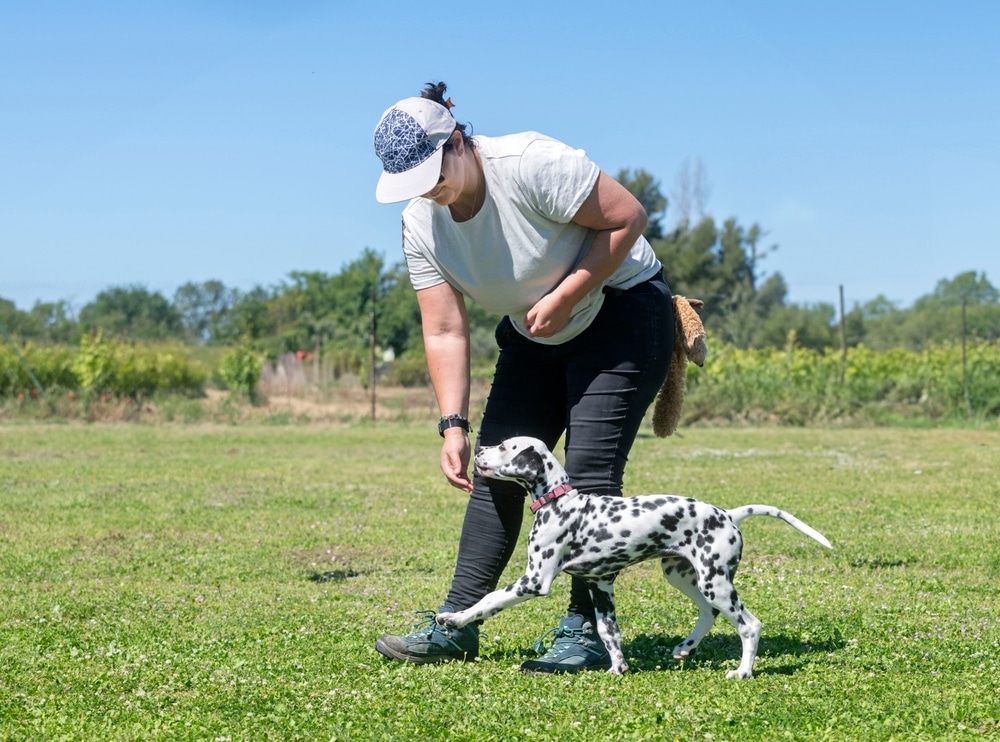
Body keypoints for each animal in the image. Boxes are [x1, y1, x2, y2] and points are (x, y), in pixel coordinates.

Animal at [434, 436, 832, 680]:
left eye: (504, 446)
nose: (478, 449)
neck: (559, 502)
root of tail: (728, 514)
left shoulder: (534, 580)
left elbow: (488, 600)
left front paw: (455, 618)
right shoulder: (599, 586)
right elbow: (609, 633)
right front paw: (618, 668)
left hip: (715, 581)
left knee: (749, 625)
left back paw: (743, 671)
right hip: (682, 575)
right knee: (709, 613)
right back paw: (685, 648)